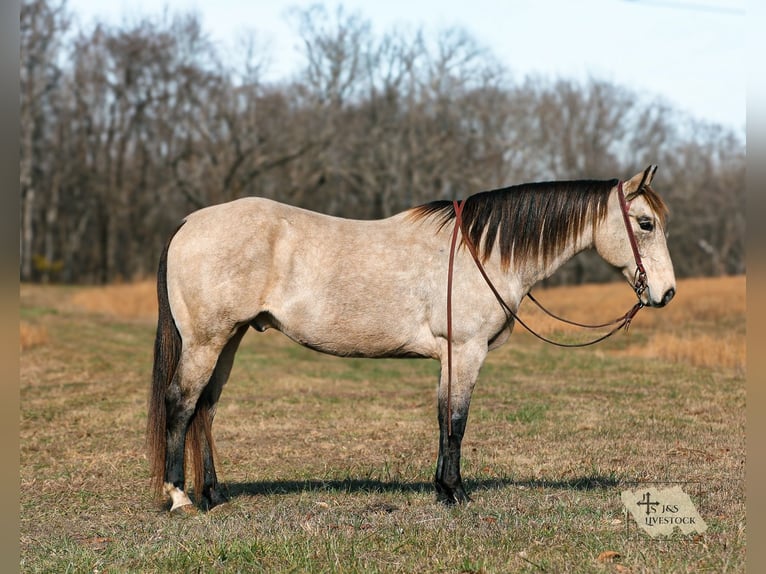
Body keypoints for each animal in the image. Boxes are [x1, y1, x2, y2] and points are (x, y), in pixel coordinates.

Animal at [147, 165, 675, 512]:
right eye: (645, 223)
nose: (666, 292)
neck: (483, 252)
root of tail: (189, 223)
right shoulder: (466, 351)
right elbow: (457, 420)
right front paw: (457, 493)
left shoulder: (450, 357)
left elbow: (443, 418)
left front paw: (442, 488)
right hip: (207, 341)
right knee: (181, 403)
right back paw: (178, 497)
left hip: (229, 338)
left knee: (206, 409)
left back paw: (214, 494)